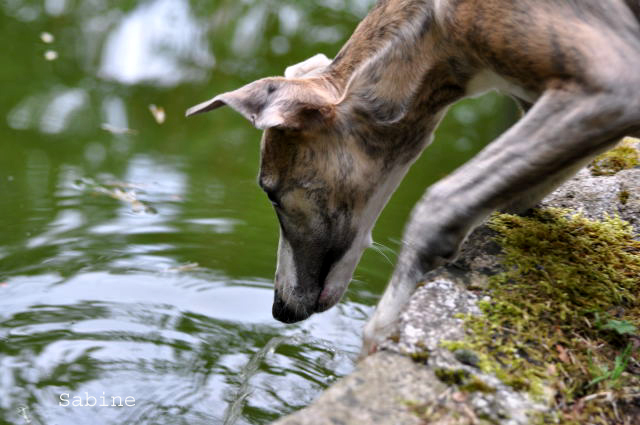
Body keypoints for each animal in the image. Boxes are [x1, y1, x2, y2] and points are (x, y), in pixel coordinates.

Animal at [188, 0, 640, 354]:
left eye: (272, 192)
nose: (280, 309)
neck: (433, 26)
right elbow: (515, 197)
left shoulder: (610, 82)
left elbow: (440, 204)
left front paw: (379, 336)